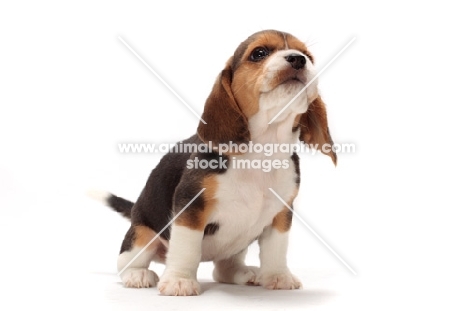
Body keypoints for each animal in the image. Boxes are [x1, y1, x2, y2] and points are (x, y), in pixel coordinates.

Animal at [98, 29, 336, 298]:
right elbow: (186, 248)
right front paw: (180, 280)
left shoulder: (281, 212)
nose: (297, 59)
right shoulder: (190, 207)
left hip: (237, 246)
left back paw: (243, 273)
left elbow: (276, 248)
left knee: (222, 269)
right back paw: (137, 274)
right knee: (126, 261)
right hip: (142, 233)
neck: (263, 150)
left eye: (308, 56)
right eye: (259, 53)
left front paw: (278, 276)